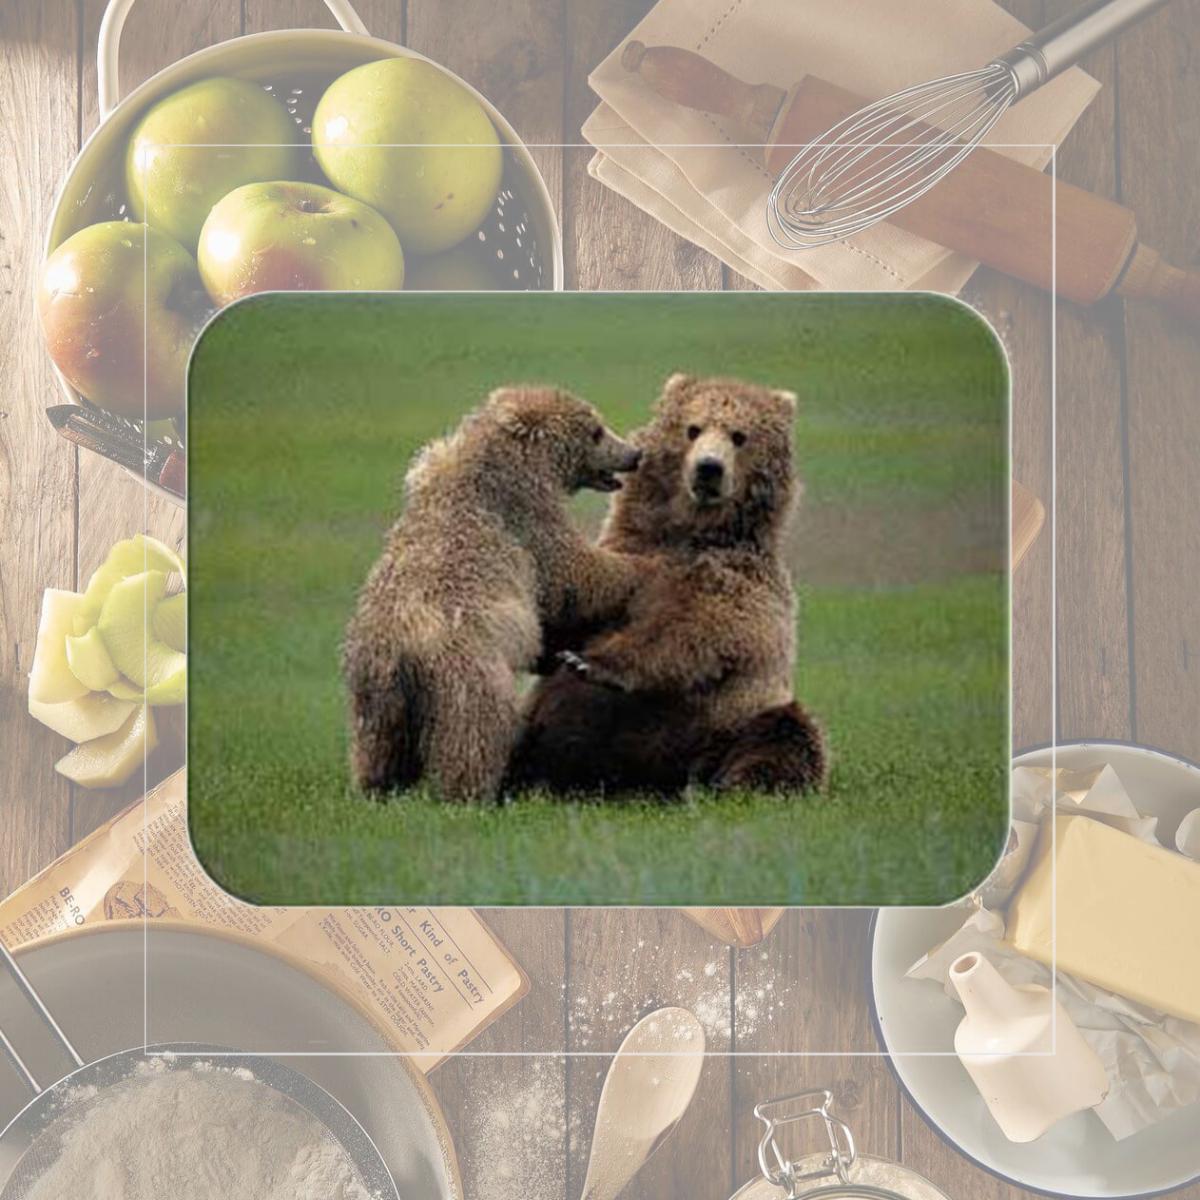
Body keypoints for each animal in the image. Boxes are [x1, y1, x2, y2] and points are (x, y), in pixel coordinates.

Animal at [343, 385, 643, 802]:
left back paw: (377, 786)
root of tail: (399, 650)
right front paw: (635, 567)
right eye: (597, 431)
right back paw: (474, 789)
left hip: (375, 690)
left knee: (378, 743)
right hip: (465, 670)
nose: (634, 453)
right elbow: (569, 569)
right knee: (478, 727)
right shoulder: (525, 517)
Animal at [510, 372, 827, 796]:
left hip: (732, 721)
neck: (688, 532)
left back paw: (732, 784)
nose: (708, 468)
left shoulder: (740, 585)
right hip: (544, 728)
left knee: (786, 735)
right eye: (693, 428)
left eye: (739, 435)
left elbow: (695, 629)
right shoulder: (627, 558)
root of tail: (651, 783)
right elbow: (566, 618)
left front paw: (590, 662)